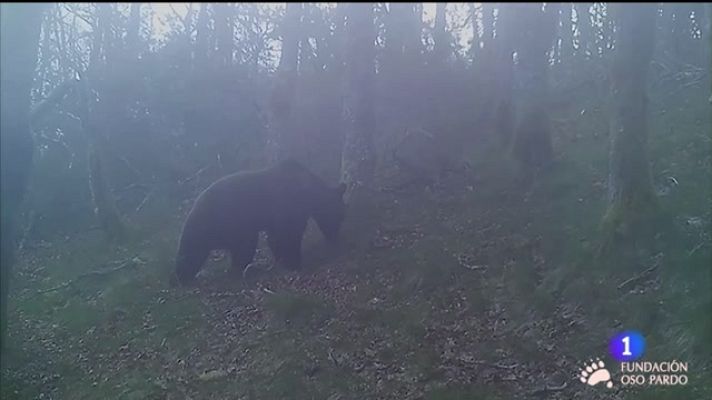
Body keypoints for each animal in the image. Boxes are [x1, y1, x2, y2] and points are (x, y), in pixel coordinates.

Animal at [174, 159, 346, 285]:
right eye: (339, 216)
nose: (335, 236)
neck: (310, 193)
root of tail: (194, 206)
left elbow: (276, 238)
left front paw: (282, 260)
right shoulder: (288, 205)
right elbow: (287, 235)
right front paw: (294, 263)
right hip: (225, 222)